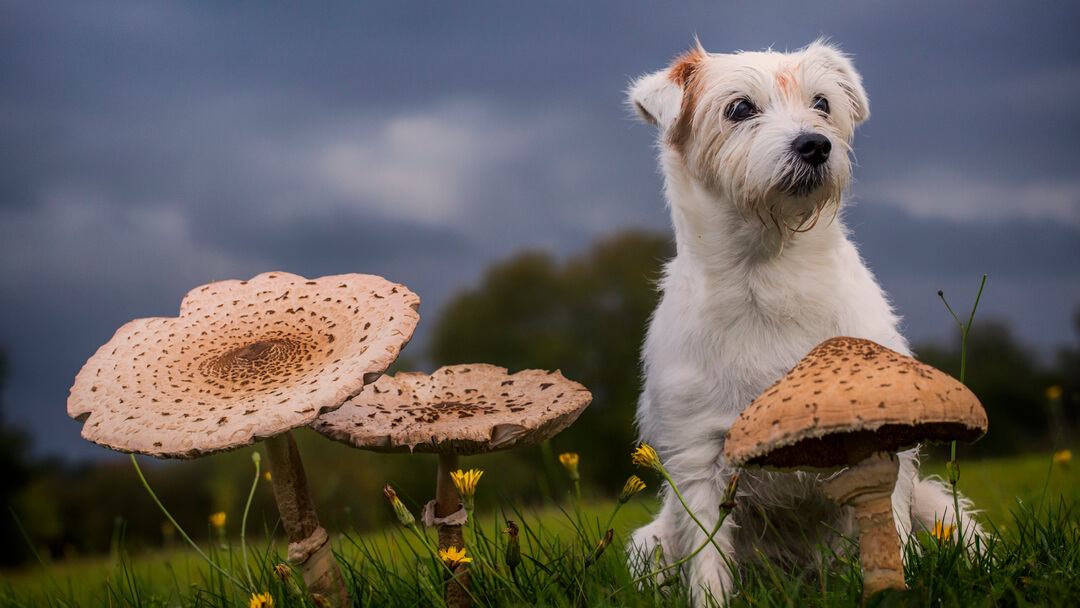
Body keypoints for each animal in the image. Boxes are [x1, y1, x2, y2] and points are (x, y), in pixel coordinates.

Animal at [626, 40, 980, 604]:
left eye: (822, 104)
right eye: (739, 108)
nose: (815, 145)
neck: (769, 273)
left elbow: (893, 531)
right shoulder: (697, 460)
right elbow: (707, 564)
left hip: (940, 504)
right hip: (651, 543)